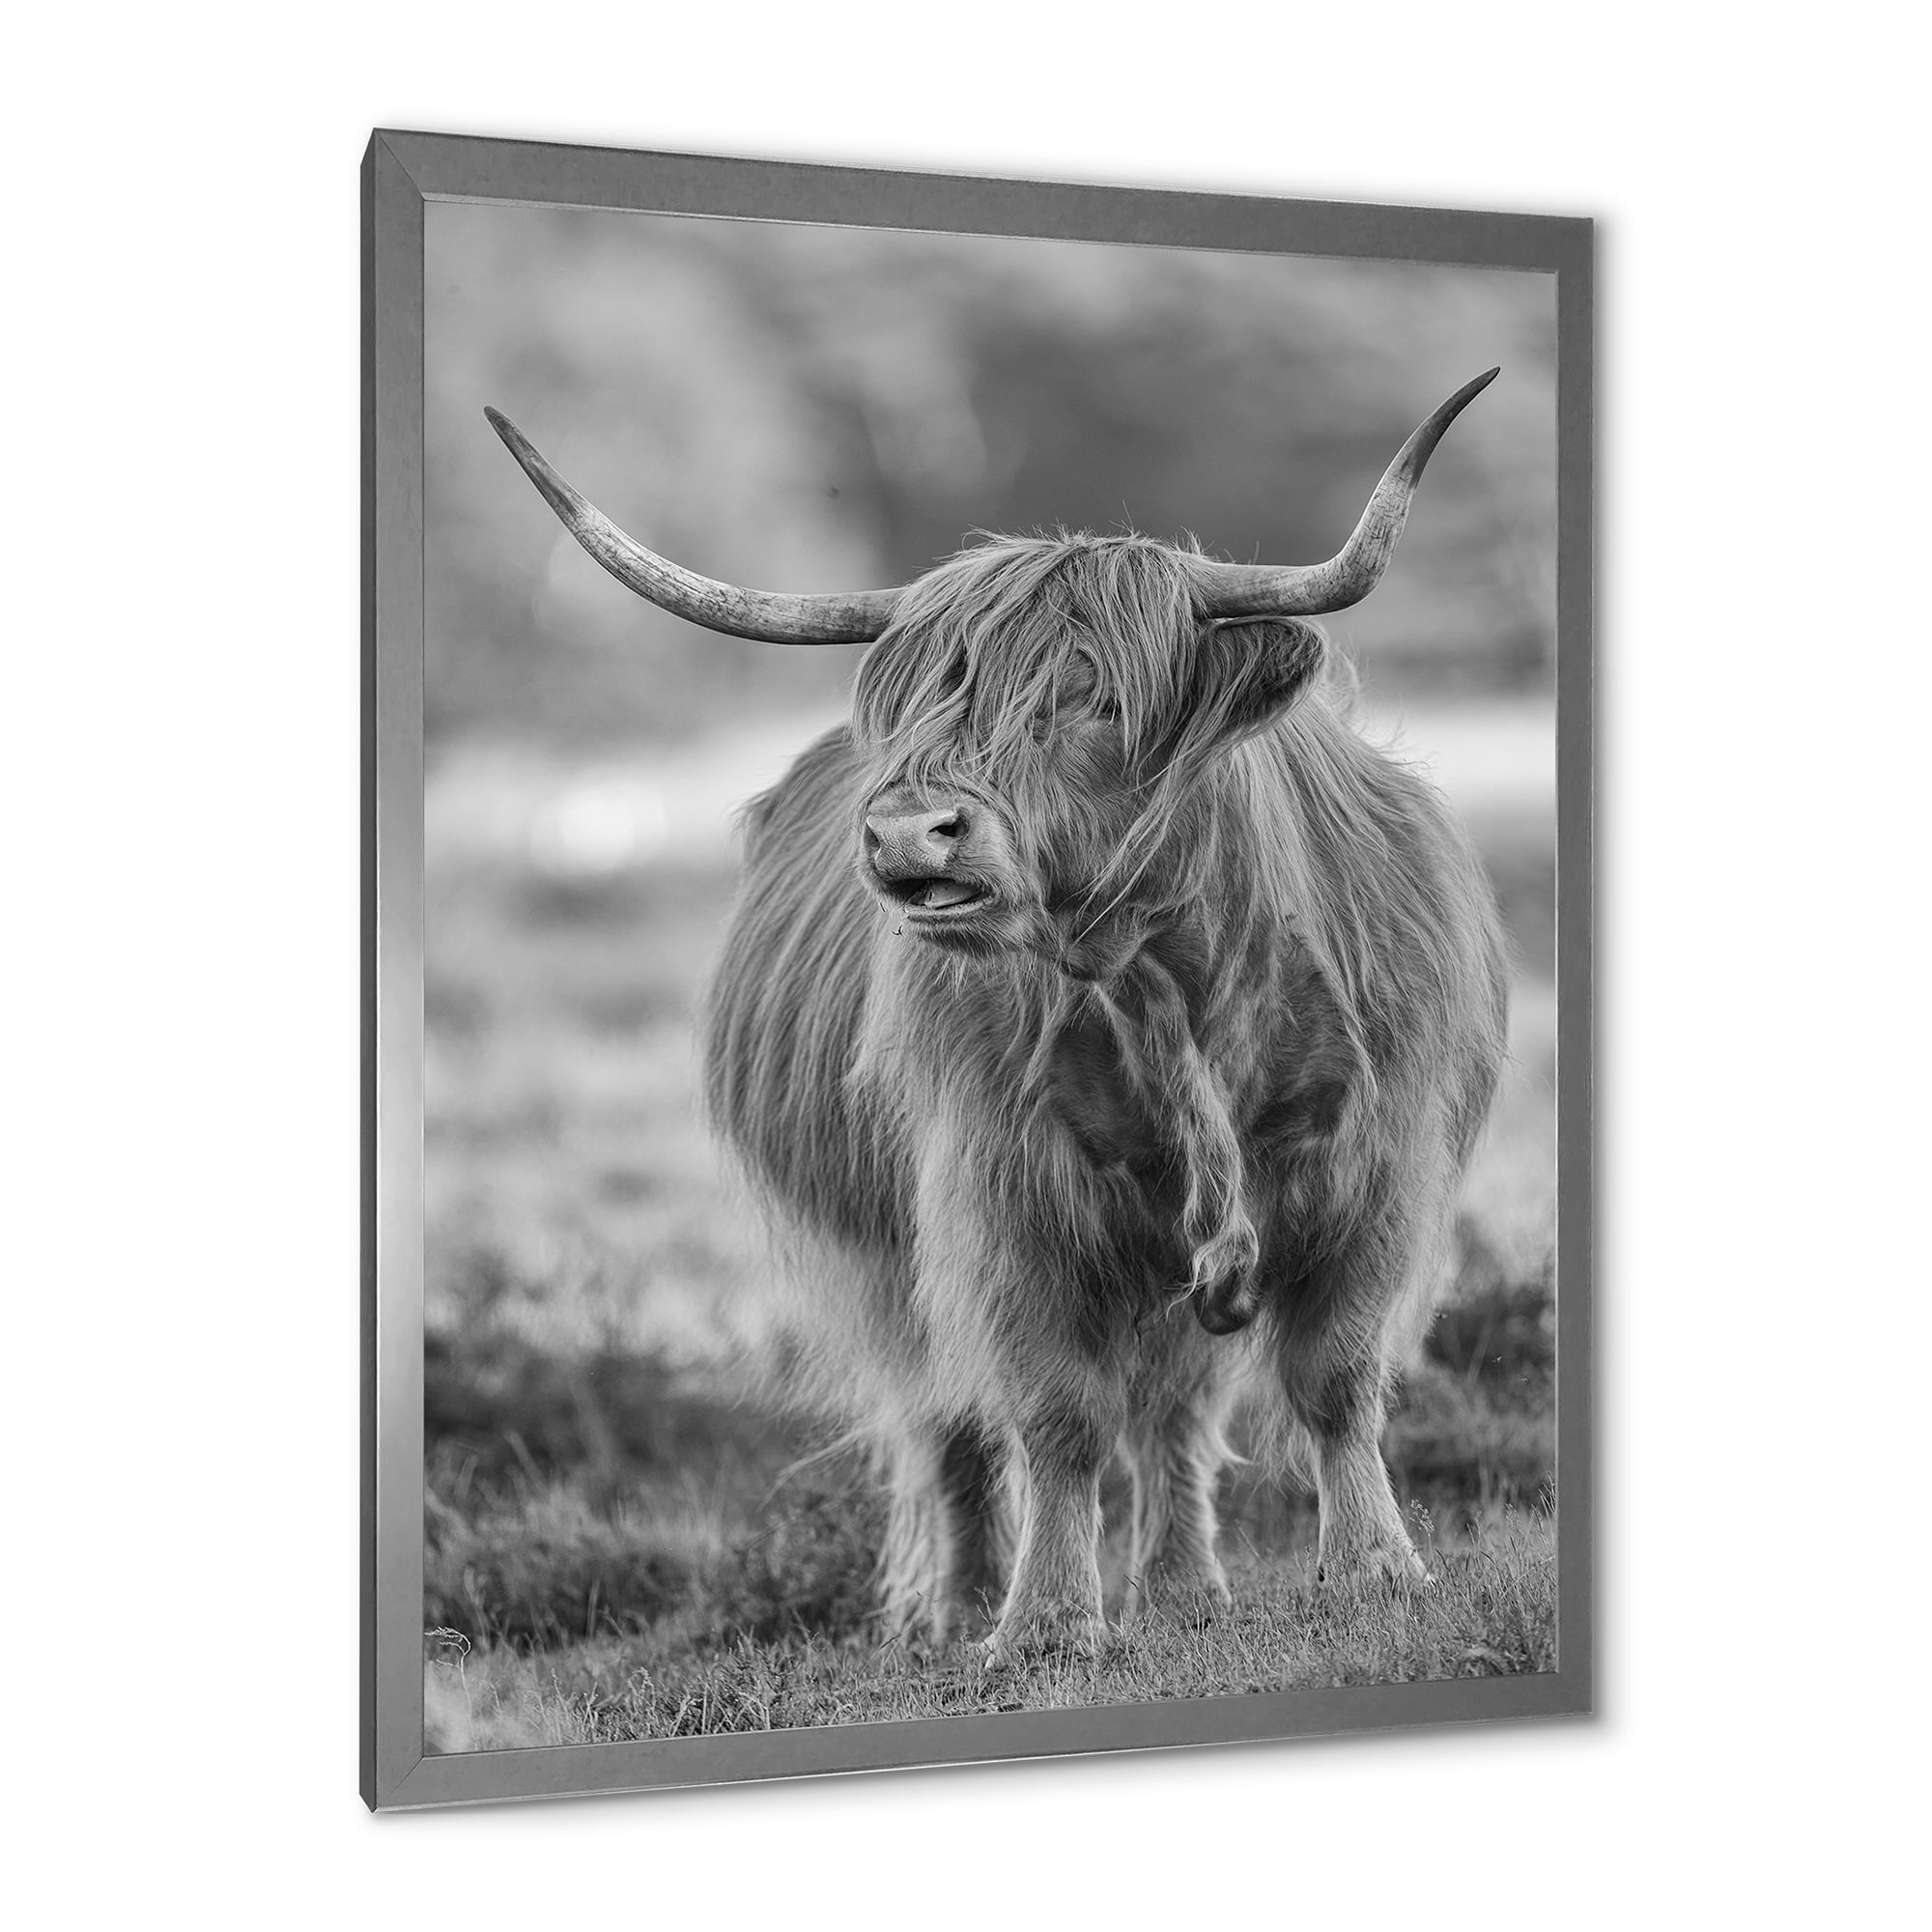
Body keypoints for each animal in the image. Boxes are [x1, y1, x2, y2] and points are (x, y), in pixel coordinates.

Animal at [486, 371, 1510, 1663]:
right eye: (928, 701)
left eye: (1099, 696)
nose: (905, 831)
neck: (1168, 981)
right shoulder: (1000, 1193)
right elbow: (1052, 1412)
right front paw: (1045, 1620)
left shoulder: (1374, 1165)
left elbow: (1333, 1376)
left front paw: (1375, 1573)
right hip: (890, 1258)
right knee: (951, 1418)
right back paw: (956, 1605)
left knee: (1172, 1407)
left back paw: (1184, 1586)